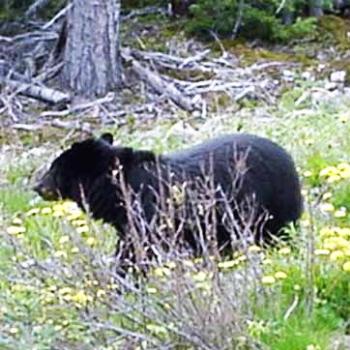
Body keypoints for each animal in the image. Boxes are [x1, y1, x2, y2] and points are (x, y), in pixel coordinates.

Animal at [34, 134, 304, 268]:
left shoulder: (149, 214)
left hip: (272, 205)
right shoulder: (127, 223)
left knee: (278, 233)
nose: (36, 186)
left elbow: (137, 251)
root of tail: (289, 157)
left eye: (54, 168)